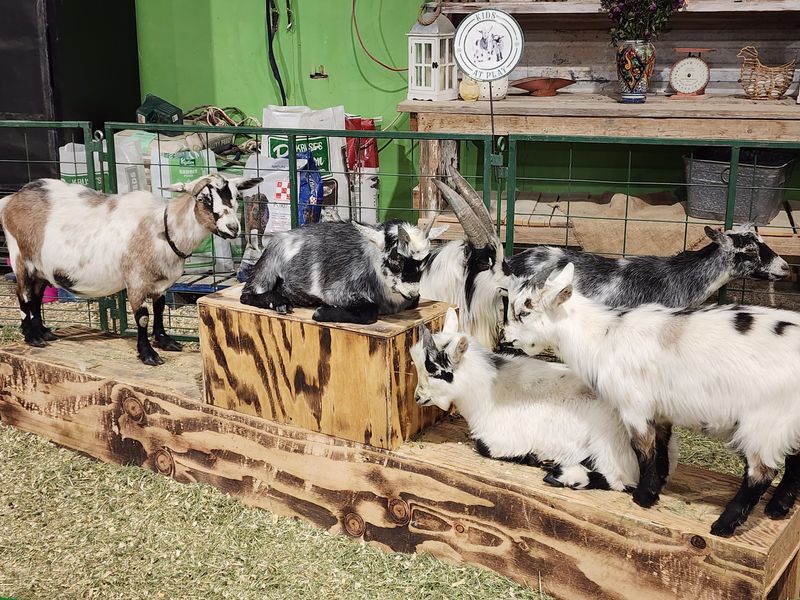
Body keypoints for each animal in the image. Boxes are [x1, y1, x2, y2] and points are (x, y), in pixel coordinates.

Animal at [0, 174, 261, 365]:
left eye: (236, 197)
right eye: (204, 199)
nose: (233, 228)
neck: (164, 227)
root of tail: (11, 199)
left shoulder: (160, 283)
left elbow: (159, 309)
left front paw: (165, 342)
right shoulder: (136, 280)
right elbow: (143, 317)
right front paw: (148, 355)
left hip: (41, 267)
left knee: (35, 297)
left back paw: (43, 332)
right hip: (21, 257)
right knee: (23, 295)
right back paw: (32, 337)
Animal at [240, 218, 448, 324]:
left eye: (425, 261)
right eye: (396, 260)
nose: (412, 292)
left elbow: (414, 302)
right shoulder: (336, 291)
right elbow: (370, 312)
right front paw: (321, 313)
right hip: (267, 267)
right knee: (247, 294)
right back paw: (280, 302)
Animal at [411, 307, 663, 491]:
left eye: (435, 371)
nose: (417, 397)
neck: (488, 390)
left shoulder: (503, 438)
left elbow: (483, 446)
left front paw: (530, 455)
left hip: (609, 445)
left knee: (621, 480)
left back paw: (560, 473)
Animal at [504, 262, 800, 537]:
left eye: (523, 312)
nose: (507, 338)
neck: (603, 336)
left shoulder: (634, 406)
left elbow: (643, 451)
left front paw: (643, 497)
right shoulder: (661, 411)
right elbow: (661, 449)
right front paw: (658, 487)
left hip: (766, 422)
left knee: (762, 472)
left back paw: (724, 525)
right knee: (794, 461)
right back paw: (778, 508)